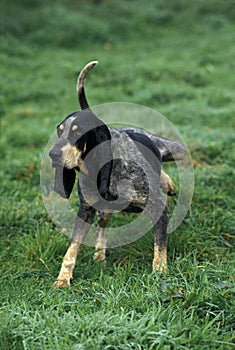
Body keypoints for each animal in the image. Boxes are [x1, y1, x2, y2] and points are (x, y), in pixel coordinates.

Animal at [49, 62, 185, 288]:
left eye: (77, 132)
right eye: (60, 131)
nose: (52, 154)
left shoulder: (158, 206)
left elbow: (160, 244)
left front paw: (160, 271)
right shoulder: (85, 210)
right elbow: (72, 249)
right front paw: (62, 278)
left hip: (176, 149)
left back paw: (167, 182)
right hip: (103, 210)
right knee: (102, 230)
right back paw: (99, 258)